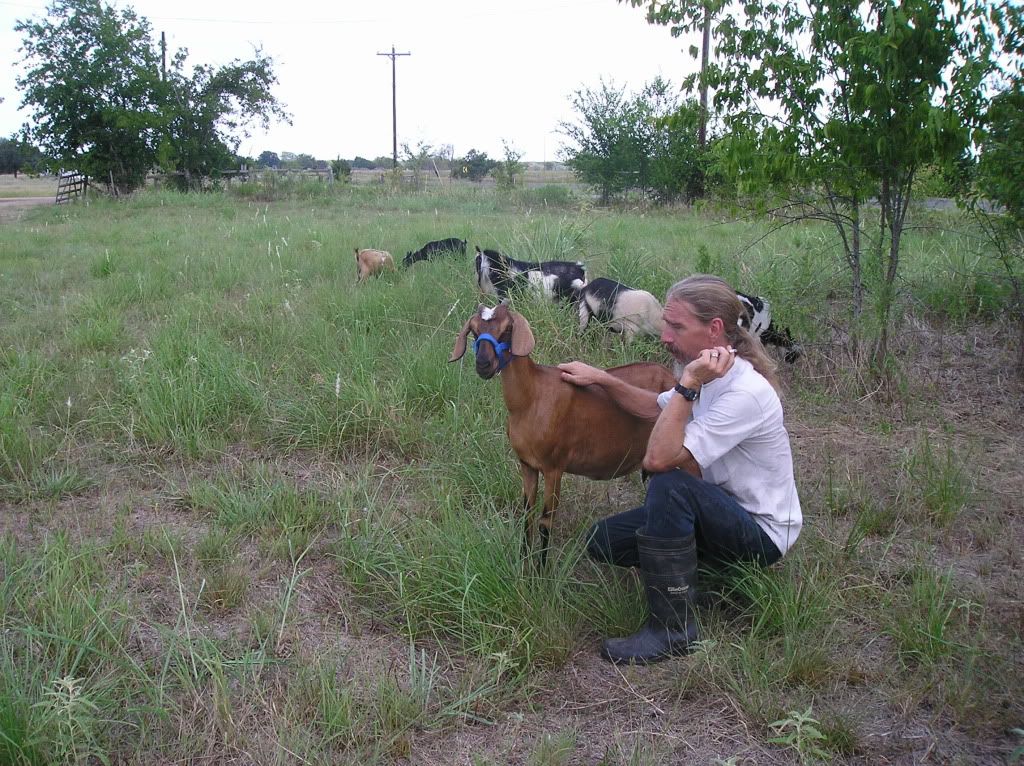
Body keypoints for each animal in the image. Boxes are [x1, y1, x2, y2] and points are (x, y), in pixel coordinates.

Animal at [449, 302, 676, 562]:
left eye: (507, 328)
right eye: (474, 330)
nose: (483, 364)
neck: (531, 399)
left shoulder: (554, 467)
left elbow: (545, 522)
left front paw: (541, 571)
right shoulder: (527, 465)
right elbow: (527, 515)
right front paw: (523, 564)